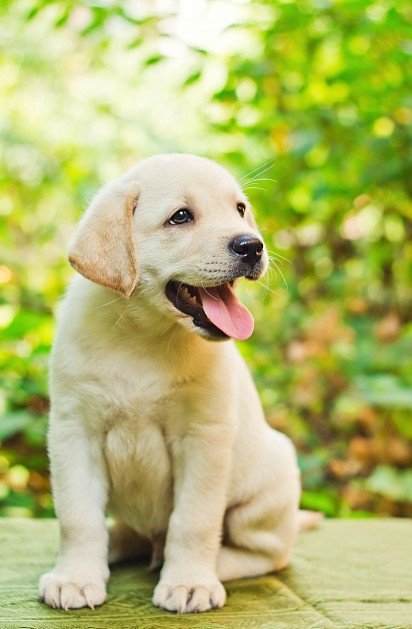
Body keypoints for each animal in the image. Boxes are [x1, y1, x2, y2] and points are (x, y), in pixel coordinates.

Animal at [37, 153, 302, 612]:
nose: (252, 245)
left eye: (239, 209)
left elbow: (193, 521)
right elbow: (78, 516)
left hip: (270, 482)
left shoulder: (203, 438)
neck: (145, 336)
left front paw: (189, 582)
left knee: (267, 554)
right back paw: (117, 546)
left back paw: (207, 566)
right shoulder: (74, 431)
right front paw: (76, 577)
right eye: (181, 217)